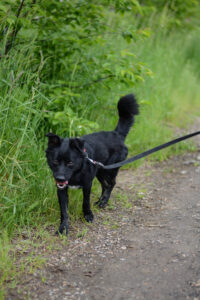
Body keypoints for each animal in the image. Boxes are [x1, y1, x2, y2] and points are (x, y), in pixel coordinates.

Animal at [45, 94, 139, 234]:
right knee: (105, 185)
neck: (76, 172)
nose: (60, 178)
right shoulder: (61, 189)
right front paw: (63, 227)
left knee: (111, 183)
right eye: (55, 161)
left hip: (109, 170)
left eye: (70, 162)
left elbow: (85, 201)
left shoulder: (87, 184)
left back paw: (103, 202)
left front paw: (88, 215)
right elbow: (64, 210)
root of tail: (117, 134)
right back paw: (100, 200)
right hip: (100, 171)